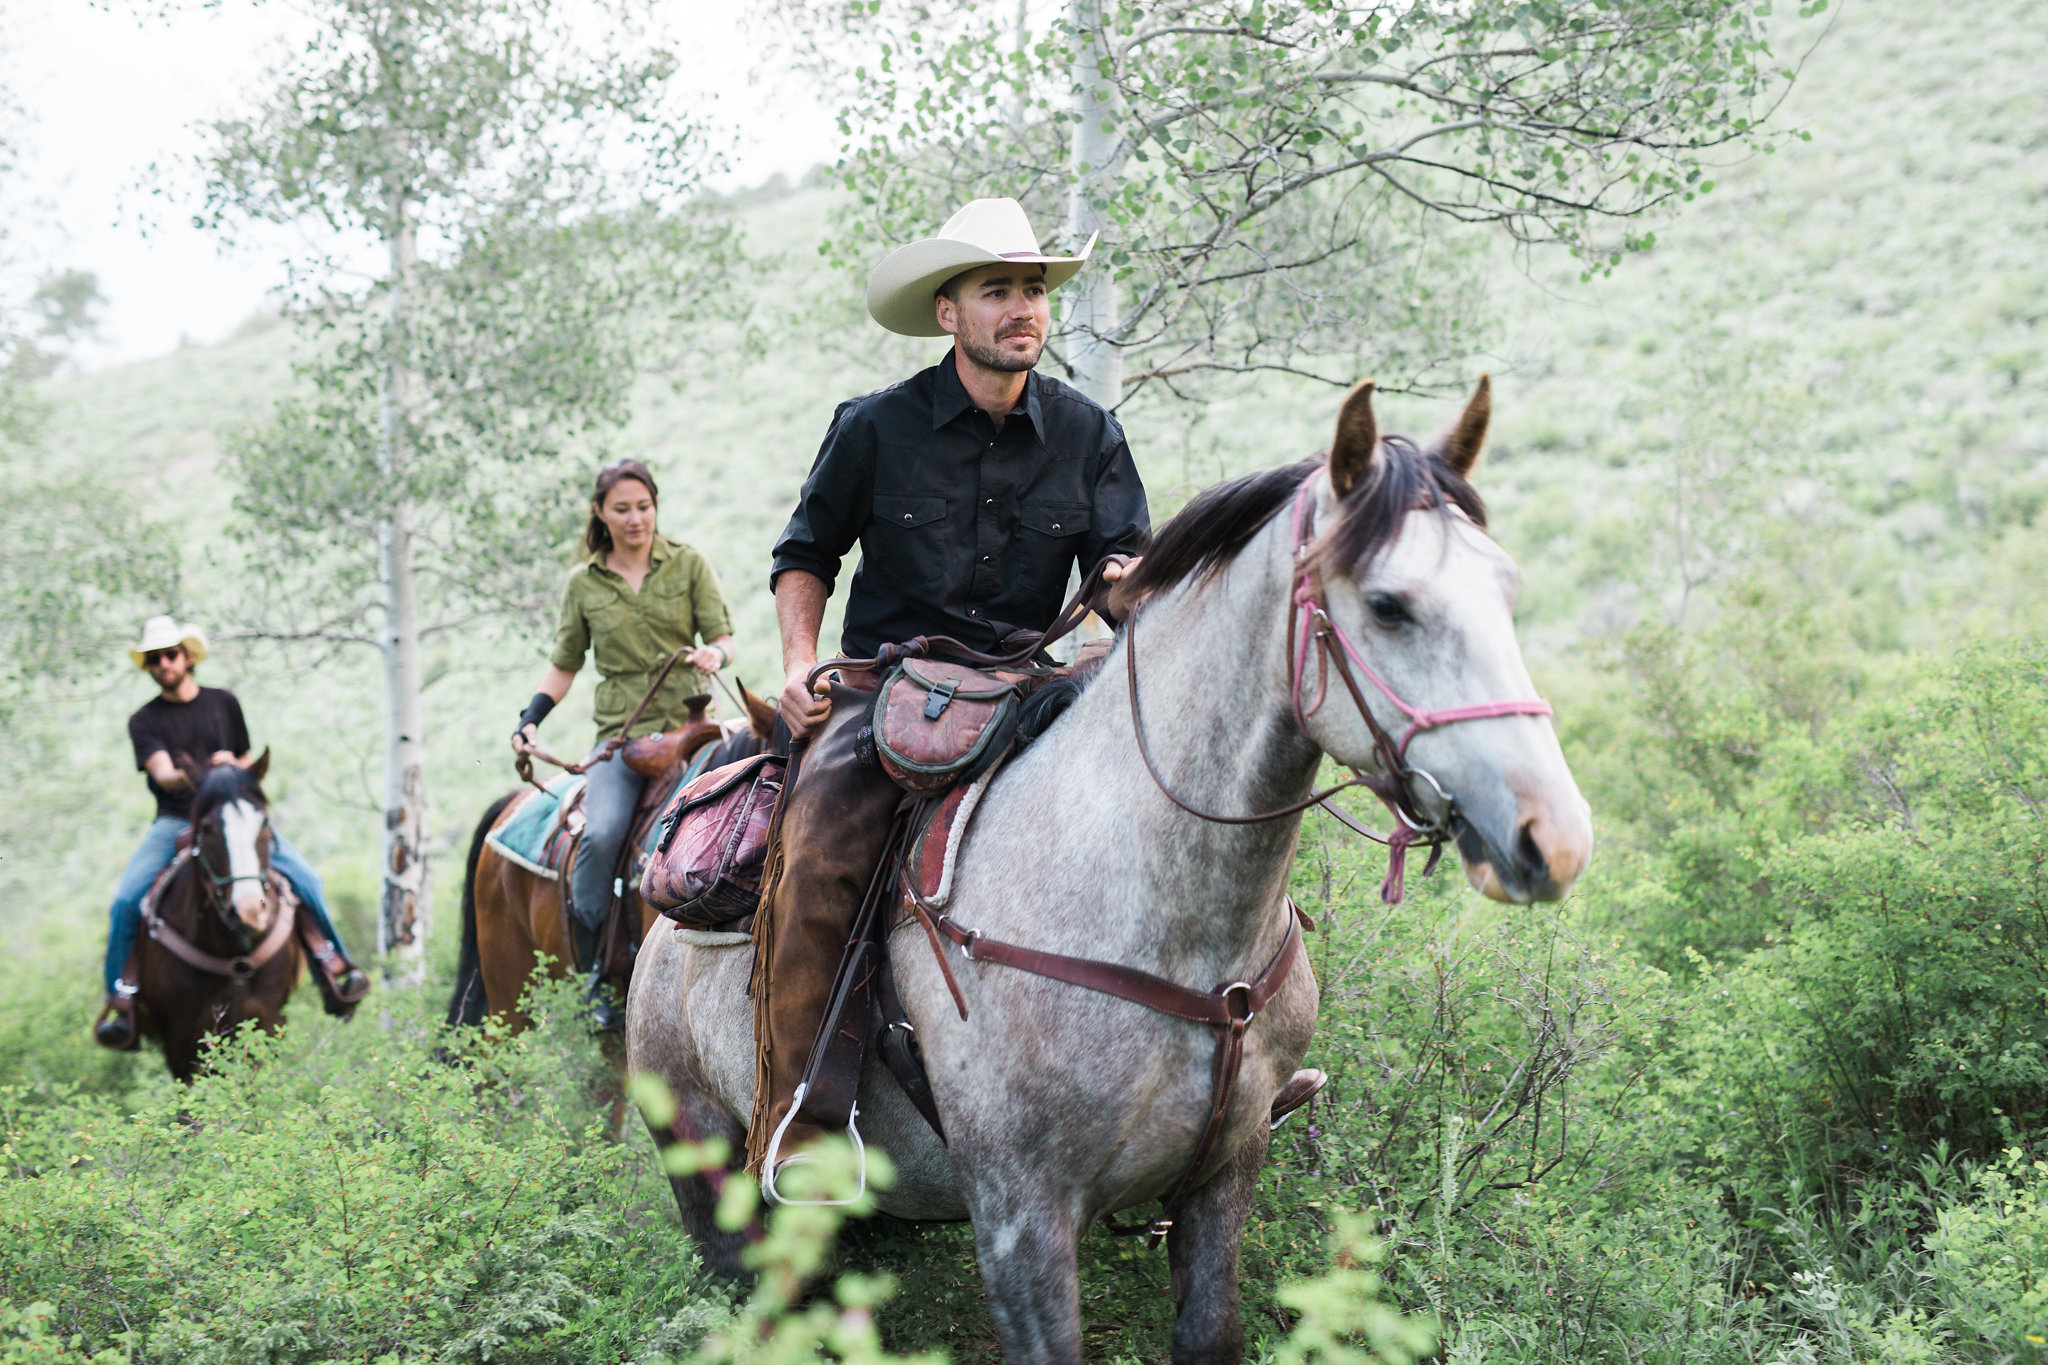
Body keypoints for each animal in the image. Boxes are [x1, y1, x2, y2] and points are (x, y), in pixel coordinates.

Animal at [133, 753, 303, 1080]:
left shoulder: (269, 1023)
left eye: (264, 822)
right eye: (208, 828)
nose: (250, 911)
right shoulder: (182, 1043)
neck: (233, 954)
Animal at [630, 382, 1589, 1365]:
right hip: (713, 1178)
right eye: (1390, 604)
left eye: (1506, 587)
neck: (1169, 922)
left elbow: (1210, 1329)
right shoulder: (1021, 1216)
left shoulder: (1226, 1173)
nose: (1552, 836)